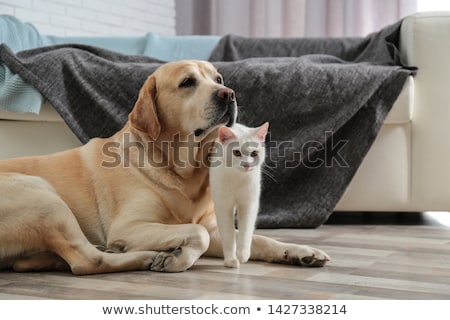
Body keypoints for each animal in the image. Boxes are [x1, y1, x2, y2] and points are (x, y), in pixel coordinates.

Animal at [210, 122, 268, 268]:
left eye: (254, 153)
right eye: (236, 152)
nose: (246, 164)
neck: (238, 177)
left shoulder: (249, 205)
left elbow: (246, 230)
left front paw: (242, 254)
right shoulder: (223, 206)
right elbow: (228, 235)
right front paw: (230, 259)